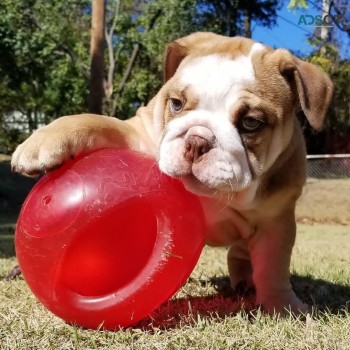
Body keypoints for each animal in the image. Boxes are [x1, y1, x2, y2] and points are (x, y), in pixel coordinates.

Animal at [11, 32, 334, 316]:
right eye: (176, 104)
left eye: (251, 122)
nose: (197, 140)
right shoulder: (138, 134)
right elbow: (100, 122)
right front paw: (44, 140)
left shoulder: (276, 222)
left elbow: (273, 267)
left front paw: (283, 304)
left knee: (240, 254)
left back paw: (245, 282)